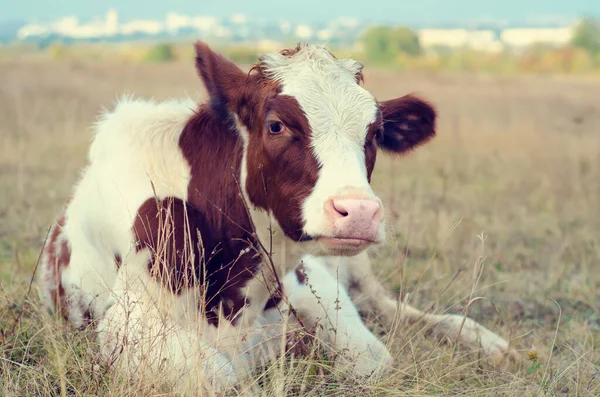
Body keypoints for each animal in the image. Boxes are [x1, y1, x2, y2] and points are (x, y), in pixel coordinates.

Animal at [38, 41, 516, 390]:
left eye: (375, 132)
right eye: (276, 125)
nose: (359, 212)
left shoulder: (309, 281)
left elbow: (371, 358)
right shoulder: (125, 327)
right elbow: (216, 375)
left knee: (392, 308)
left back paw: (489, 343)